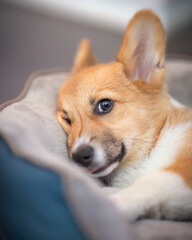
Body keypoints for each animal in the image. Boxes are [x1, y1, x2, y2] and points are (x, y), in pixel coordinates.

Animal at [57, 11, 192, 221]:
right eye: (67, 119)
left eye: (105, 105)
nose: (79, 157)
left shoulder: (181, 172)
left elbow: (151, 182)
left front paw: (111, 206)